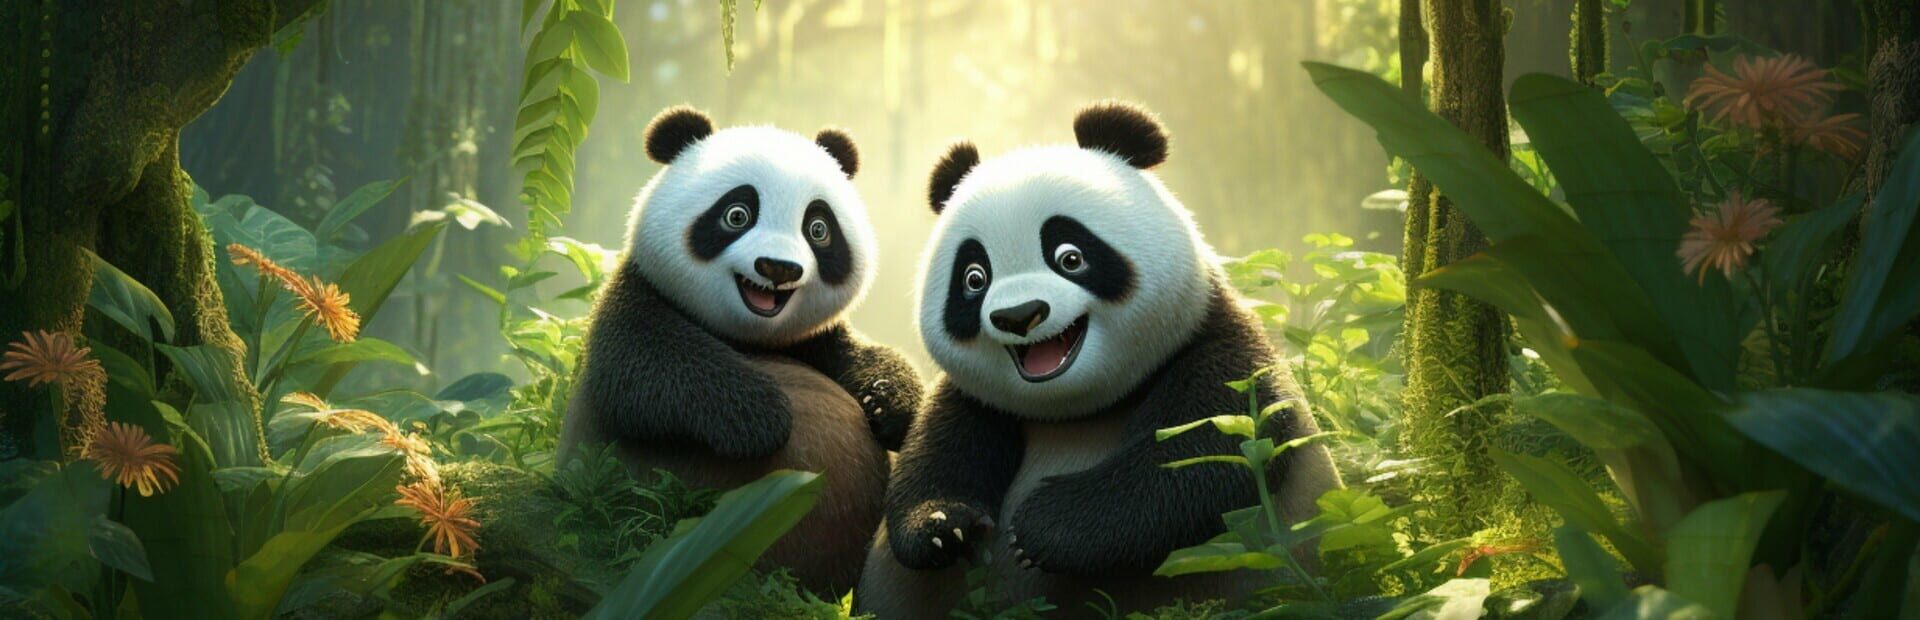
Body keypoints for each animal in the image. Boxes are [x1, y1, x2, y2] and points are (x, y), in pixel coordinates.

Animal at [559, 106, 923, 594]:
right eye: (737, 214)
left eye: (819, 229)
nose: (778, 268)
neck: (746, 334)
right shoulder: (638, 298)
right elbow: (641, 374)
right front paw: (761, 414)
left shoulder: (812, 339)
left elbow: (863, 355)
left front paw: (888, 401)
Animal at [856, 102, 1341, 617]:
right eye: (973, 278)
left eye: (1070, 257)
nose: (1019, 315)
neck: (1073, 410)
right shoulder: (975, 398)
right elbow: (934, 453)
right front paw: (944, 526)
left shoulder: (1210, 343)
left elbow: (1208, 451)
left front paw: (1041, 526)